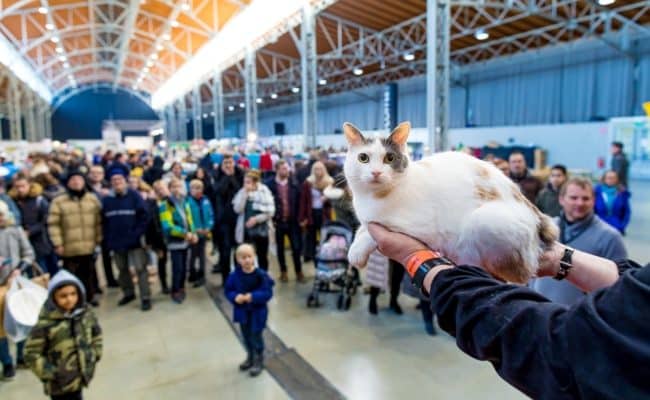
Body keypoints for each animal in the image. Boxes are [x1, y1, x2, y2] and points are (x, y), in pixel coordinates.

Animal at [344, 120, 556, 282]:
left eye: (389, 158)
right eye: (363, 158)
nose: (376, 172)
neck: (373, 197)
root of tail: (535, 213)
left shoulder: (419, 227)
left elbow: (373, 231)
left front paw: (357, 253)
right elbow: (362, 228)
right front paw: (355, 245)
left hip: (482, 222)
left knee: (516, 277)